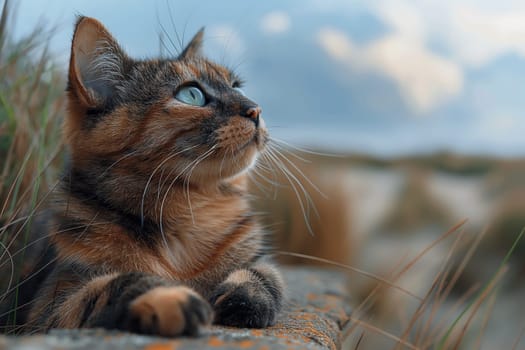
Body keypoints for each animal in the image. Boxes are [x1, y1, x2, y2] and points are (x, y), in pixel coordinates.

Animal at [0, 16, 282, 336]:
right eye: (191, 94)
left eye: (236, 86)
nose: (255, 109)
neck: (190, 213)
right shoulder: (46, 309)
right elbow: (108, 287)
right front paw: (166, 295)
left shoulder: (256, 255)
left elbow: (263, 273)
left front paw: (245, 296)